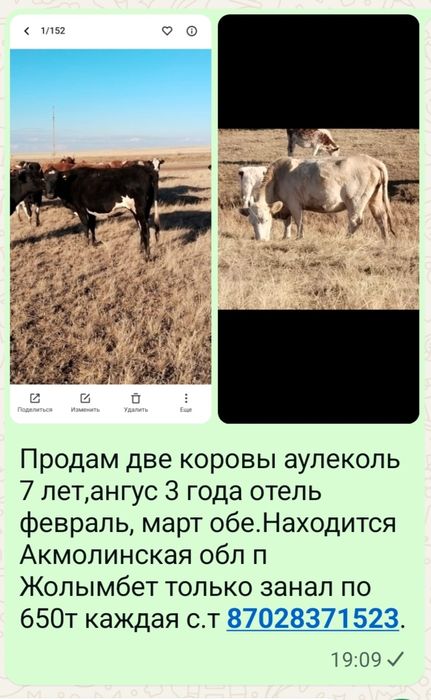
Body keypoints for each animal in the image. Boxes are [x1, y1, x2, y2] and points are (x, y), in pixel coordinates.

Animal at [240, 155, 396, 243]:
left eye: (266, 220)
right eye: (251, 222)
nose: (261, 240)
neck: (278, 177)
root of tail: (373, 161)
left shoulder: (294, 203)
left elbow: (298, 220)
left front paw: (299, 237)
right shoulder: (286, 205)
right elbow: (287, 222)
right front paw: (286, 237)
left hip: (355, 200)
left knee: (355, 220)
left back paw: (346, 238)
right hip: (375, 197)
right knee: (381, 217)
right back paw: (385, 240)